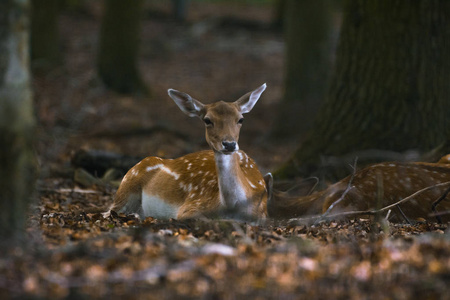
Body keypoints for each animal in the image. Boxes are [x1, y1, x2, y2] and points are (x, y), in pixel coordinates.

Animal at [108, 83, 270, 219]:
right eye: (207, 120)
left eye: (241, 119)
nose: (229, 144)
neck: (231, 207)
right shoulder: (190, 207)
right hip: (127, 186)